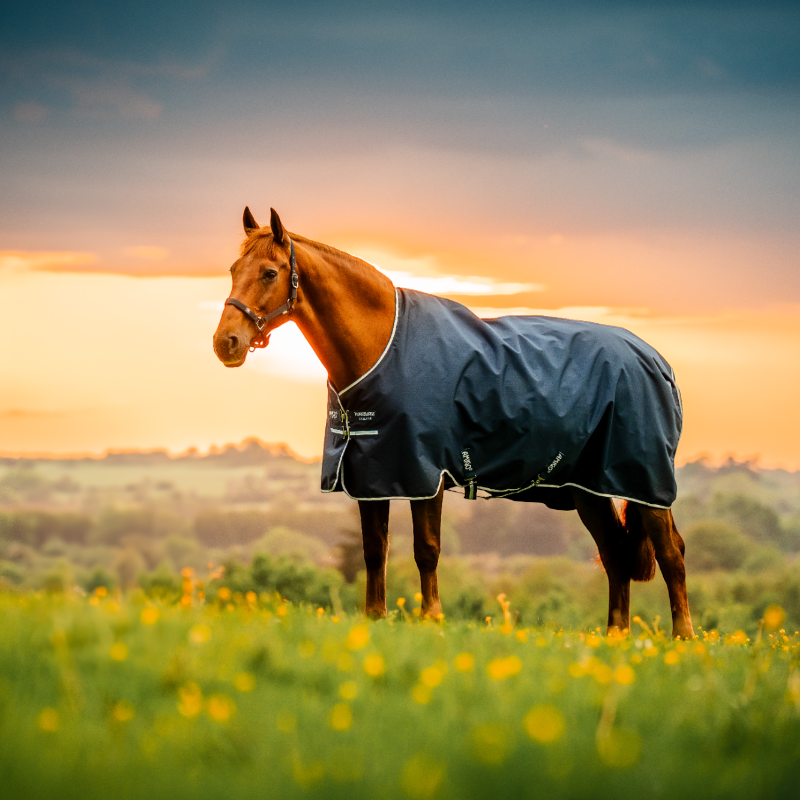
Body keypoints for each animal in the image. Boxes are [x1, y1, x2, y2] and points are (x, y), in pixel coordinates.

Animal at [213, 207, 695, 639]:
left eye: (270, 272)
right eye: (234, 268)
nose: (225, 343)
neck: (382, 347)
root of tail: (657, 362)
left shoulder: (424, 473)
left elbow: (426, 550)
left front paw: (432, 619)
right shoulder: (372, 475)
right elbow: (374, 551)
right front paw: (375, 618)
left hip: (646, 482)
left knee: (671, 553)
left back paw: (684, 638)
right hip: (587, 489)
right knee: (614, 554)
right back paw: (616, 637)